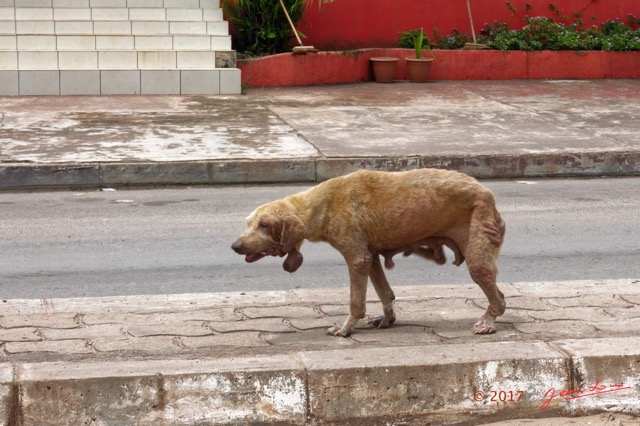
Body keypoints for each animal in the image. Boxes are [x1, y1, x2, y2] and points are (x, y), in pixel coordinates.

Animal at [232, 168, 508, 338]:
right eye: (249, 223)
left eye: (264, 224)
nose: (235, 246)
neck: (320, 206)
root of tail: (487, 193)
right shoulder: (372, 257)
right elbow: (385, 292)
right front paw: (387, 319)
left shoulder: (357, 259)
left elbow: (356, 302)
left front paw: (345, 329)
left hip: (477, 254)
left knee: (498, 296)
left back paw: (488, 322)